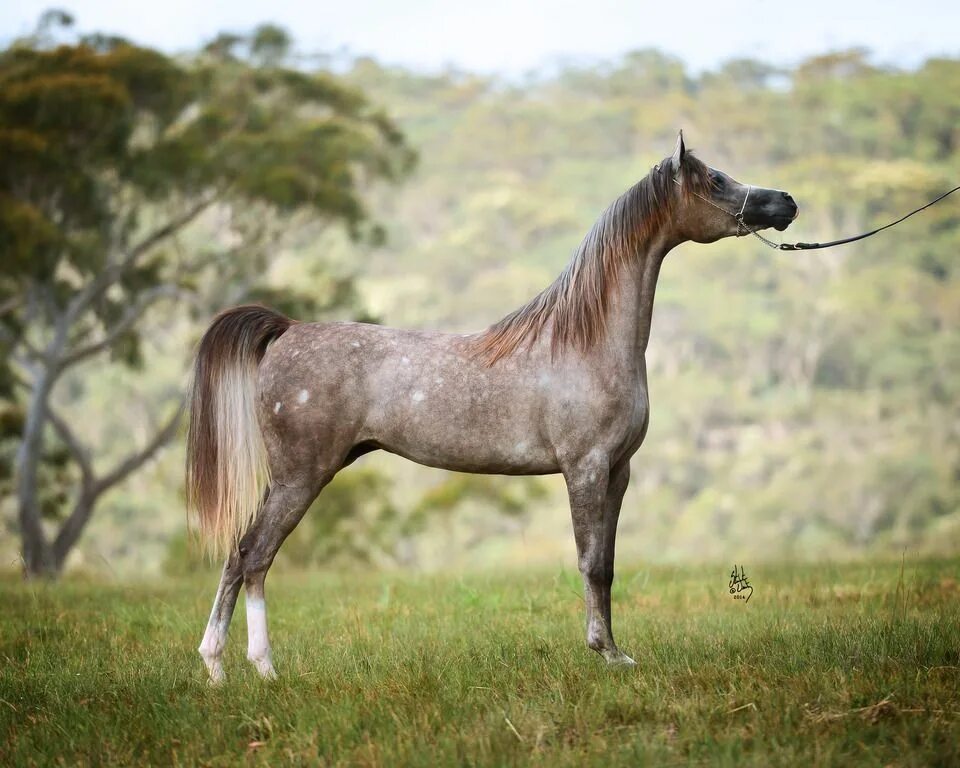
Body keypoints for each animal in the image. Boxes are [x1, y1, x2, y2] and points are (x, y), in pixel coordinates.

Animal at [189, 134, 804, 684]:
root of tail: (287, 330)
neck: (583, 341)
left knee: (240, 557)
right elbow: (590, 562)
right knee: (253, 556)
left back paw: (227, 670)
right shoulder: (585, 468)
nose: (786, 203)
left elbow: (607, 566)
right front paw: (605, 654)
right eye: (716, 180)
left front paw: (617, 651)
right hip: (301, 475)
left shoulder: (618, 472)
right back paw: (251, 668)